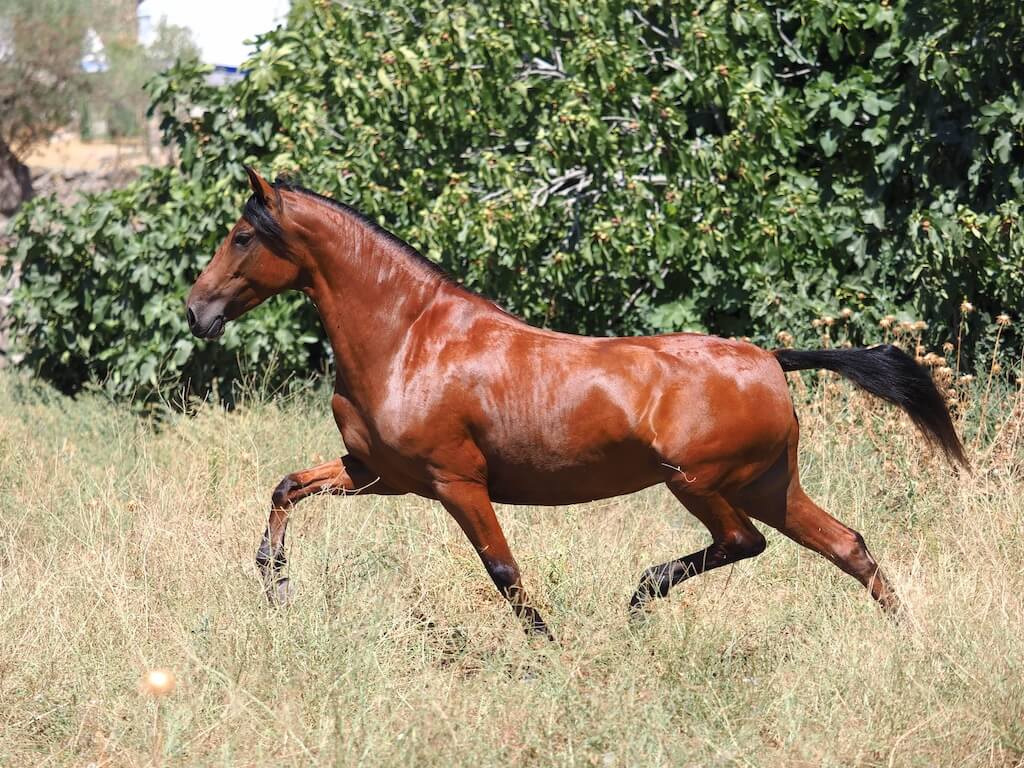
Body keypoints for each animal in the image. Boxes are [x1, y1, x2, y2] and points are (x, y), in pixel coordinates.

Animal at [186, 168, 967, 640]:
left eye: (243, 236)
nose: (197, 311)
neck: (410, 340)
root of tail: (770, 360)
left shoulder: (456, 482)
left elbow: (504, 574)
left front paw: (548, 648)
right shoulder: (378, 473)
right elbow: (288, 486)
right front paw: (275, 583)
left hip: (699, 482)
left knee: (746, 542)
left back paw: (641, 596)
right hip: (769, 484)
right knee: (848, 545)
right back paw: (910, 638)